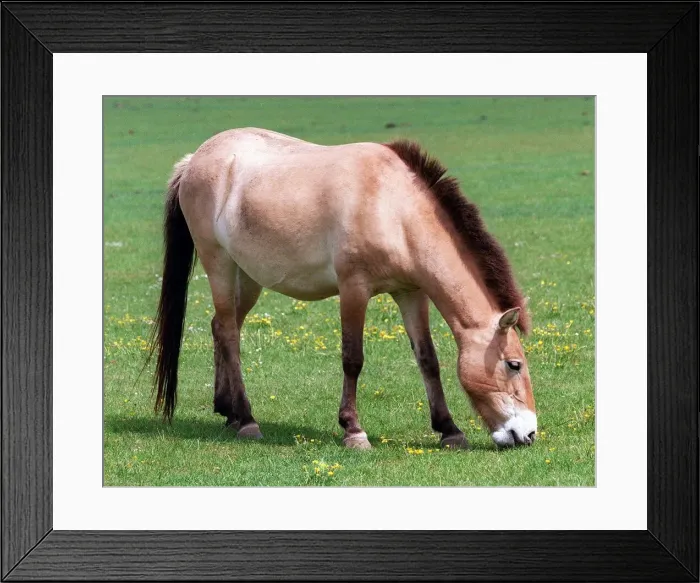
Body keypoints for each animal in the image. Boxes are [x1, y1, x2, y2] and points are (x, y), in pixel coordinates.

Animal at [148, 127, 536, 449]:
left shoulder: (411, 293)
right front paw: (353, 431)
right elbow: (353, 359)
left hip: (248, 277)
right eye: (514, 364)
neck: (394, 208)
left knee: (222, 327)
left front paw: (449, 430)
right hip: (219, 265)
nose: (528, 433)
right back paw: (246, 420)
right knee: (228, 332)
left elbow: (428, 359)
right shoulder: (354, 289)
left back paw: (227, 411)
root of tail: (195, 159)